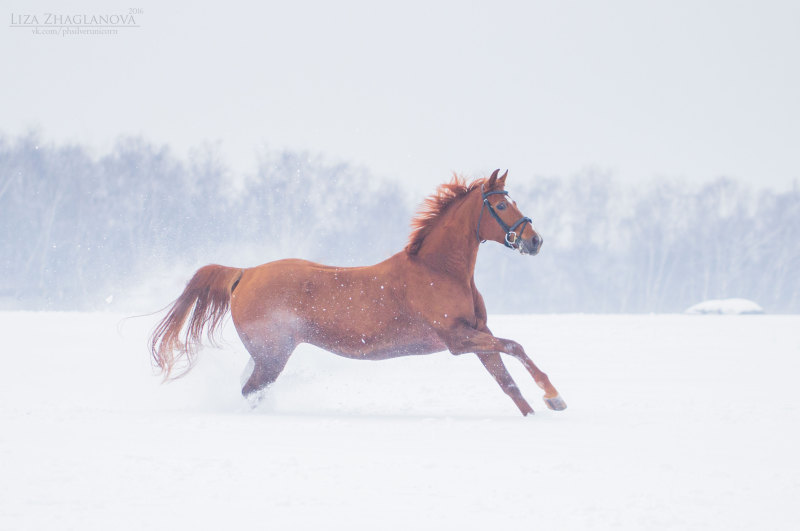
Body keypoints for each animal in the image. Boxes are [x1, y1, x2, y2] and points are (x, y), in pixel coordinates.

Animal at [150, 169, 564, 416]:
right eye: (500, 205)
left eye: (514, 201)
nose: (535, 241)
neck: (438, 272)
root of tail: (244, 274)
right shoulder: (457, 339)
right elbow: (515, 347)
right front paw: (553, 395)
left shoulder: (479, 334)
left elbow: (508, 382)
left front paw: (539, 411)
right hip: (272, 354)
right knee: (251, 391)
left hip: (265, 355)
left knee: (250, 390)